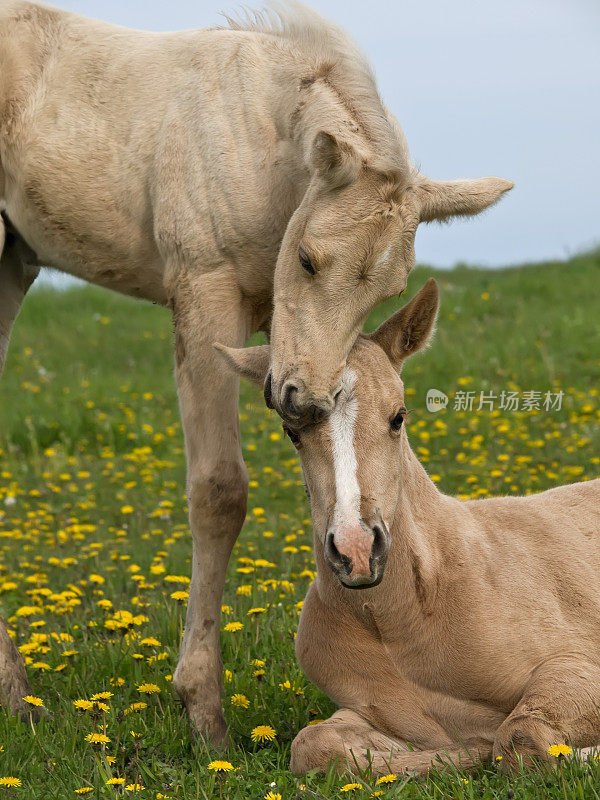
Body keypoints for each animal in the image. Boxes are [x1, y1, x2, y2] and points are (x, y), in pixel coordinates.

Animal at [1, 0, 516, 740]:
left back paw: (15, 693)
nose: (299, 398)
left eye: (387, 289)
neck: (260, 143)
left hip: (13, 259)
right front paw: (203, 711)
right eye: (307, 259)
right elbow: (219, 490)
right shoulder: (204, 293)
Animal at [223, 280, 600, 776]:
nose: (357, 551)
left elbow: (523, 737)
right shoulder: (375, 713)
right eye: (292, 432)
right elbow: (314, 745)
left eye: (398, 416)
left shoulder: (578, 667)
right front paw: (462, 753)